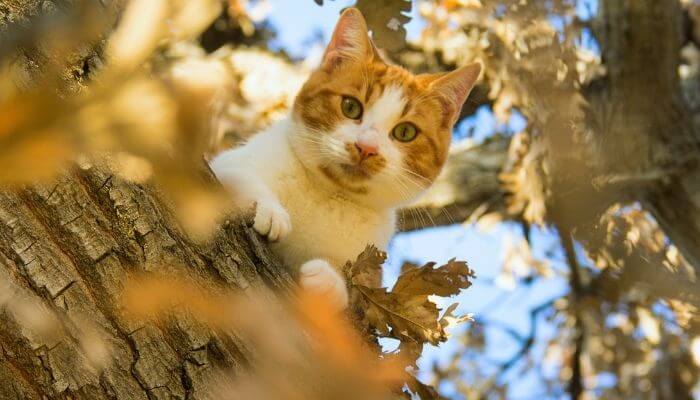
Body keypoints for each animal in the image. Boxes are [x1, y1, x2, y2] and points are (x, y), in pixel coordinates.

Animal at [209, 8, 482, 310]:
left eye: (405, 132)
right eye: (351, 107)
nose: (366, 148)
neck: (329, 195)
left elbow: (359, 300)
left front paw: (328, 282)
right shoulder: (222, 166)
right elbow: (235, 175)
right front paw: (268, 211)